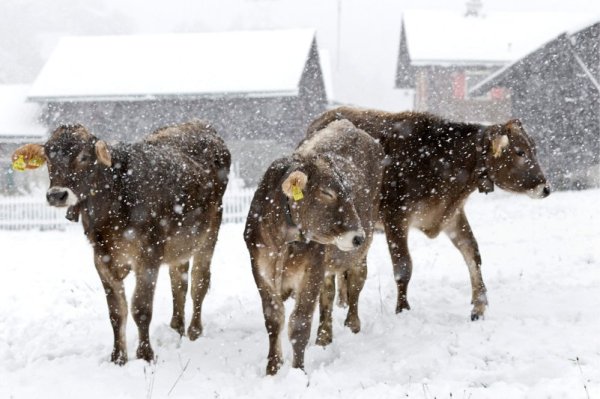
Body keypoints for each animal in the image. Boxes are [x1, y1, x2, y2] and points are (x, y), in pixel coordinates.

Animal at [14, 120, 231, 364]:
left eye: (84, 157)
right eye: (48, 157)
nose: (57, 195)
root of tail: (197, 123)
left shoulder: (149, 255)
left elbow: (141, 308)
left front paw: (145, 355)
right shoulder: (101, 258)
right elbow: (116, 312)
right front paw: (118, 358)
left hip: (210, 232)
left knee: (199, 282)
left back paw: (194, 332)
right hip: (180, 244)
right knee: (179, 283)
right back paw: (177, 328)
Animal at [244, 119, 384, 376]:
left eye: (348, 190)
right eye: (327, 192)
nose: (357, 236)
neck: (283, 242)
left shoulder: (311, 270)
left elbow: (299, 323)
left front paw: (298, 371)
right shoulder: (260, 270)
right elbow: (274, 319)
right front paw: (272, 368)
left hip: (358, 256)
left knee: (356, 283)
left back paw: (352, 325)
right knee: (328, 294)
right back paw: (323, 337)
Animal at [308, 106, 552, 322]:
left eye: (534, 149)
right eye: (520, 152)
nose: (546, 188)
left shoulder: (452, 215)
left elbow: (472, 252)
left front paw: (479, 306)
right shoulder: (395, 217)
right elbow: (403, 267)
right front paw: (402, 310)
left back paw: (344, 300)